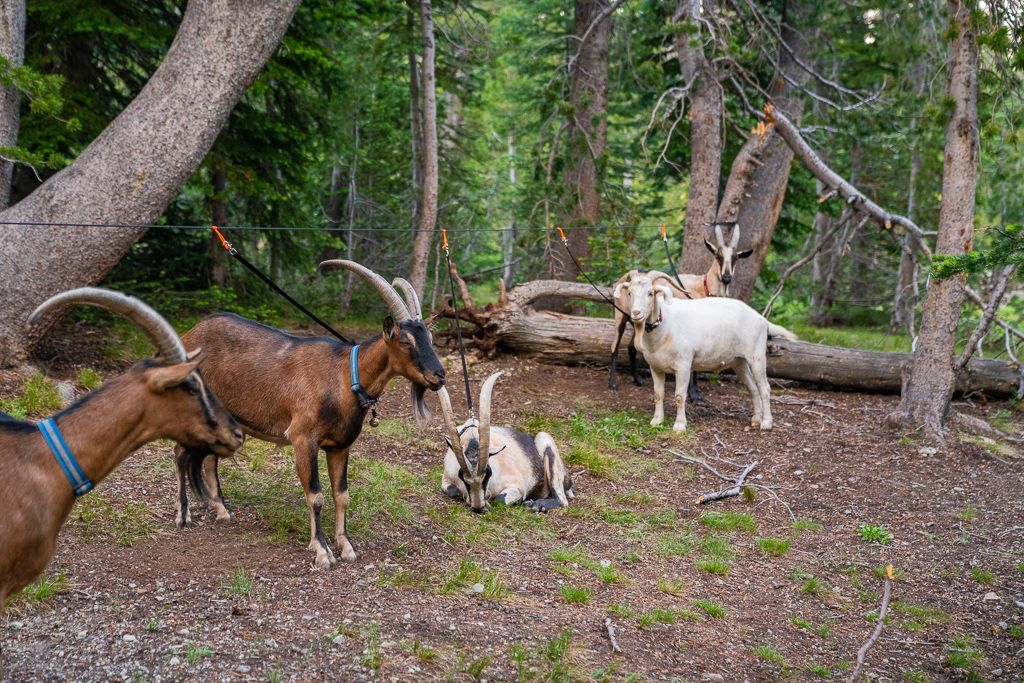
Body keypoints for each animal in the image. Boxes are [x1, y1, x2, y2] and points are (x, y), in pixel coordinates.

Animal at [174, 260, 446, 570]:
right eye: (405, 341)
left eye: (430, 337)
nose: (439, 375)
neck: (344, 377)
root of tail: (188, 336)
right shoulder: (303, 439)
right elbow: (315, 496)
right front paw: (322, 552)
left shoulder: (340, 446)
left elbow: (342, 495)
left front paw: (347, 547)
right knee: (179, 453)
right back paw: (183, 514)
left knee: (208, 458)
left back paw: (221, 510)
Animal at [437, 371, 573, 513]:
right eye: (462, 476)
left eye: (488, 473)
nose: (478, 507)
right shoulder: (446, 480)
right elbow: (454, 492)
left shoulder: (518, 486)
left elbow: (500, 499)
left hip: (545, 440)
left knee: (562, 501)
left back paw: (535, 505)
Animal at [625, 274, 797, 432]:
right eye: (630, 293)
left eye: (650, 293)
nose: (636, 313)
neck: (666, 324)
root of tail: (762, 319)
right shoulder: (655, 368)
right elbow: (658, 394)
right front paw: (657, 421)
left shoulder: (683, 366)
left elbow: (679, 396)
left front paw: (679, 426)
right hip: (739, 362)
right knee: (753, 388)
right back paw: (755, 419)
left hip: (757, 357)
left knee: (764, 388)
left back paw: (766, 423)